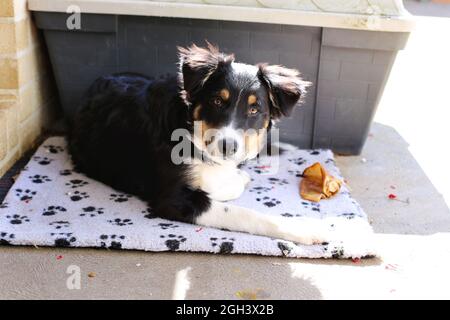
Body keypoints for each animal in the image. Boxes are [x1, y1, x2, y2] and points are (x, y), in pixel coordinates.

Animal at [67, 43, 334, 245]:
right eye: (217, 101)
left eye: (254, 109)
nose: (228, 147)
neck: (188, 129)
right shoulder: (173, 199)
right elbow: (241, 212)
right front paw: (304, 228)